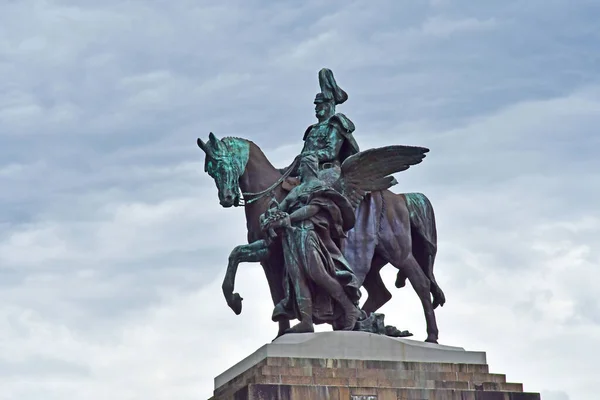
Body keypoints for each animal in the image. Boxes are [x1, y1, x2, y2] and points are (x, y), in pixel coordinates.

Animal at [197, 133, 446, 342]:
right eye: (210, 171)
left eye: (221, 164)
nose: (226, 198)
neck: (268, 191)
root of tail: (401, 198)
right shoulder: (267, 252)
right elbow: (239, 258)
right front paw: (244, 307)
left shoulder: (274, 251)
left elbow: (272, 284)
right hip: (371, 262)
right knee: (380, 293)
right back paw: (357, 321)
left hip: (397, 251)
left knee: (421, 283)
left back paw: (430, 336)